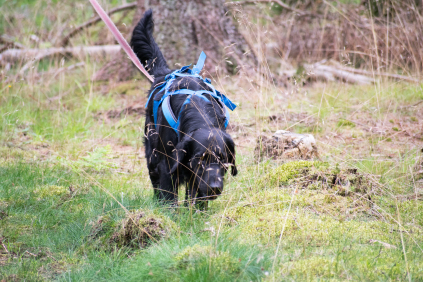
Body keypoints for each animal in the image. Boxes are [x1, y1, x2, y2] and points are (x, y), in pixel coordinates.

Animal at [131, 9, 237, 206]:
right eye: (199, 159)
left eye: (223, 160)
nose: (214, 188)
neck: (199, 111)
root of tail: (165, 73)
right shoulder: (167, 163)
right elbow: (169, 196)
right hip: (151, 149)